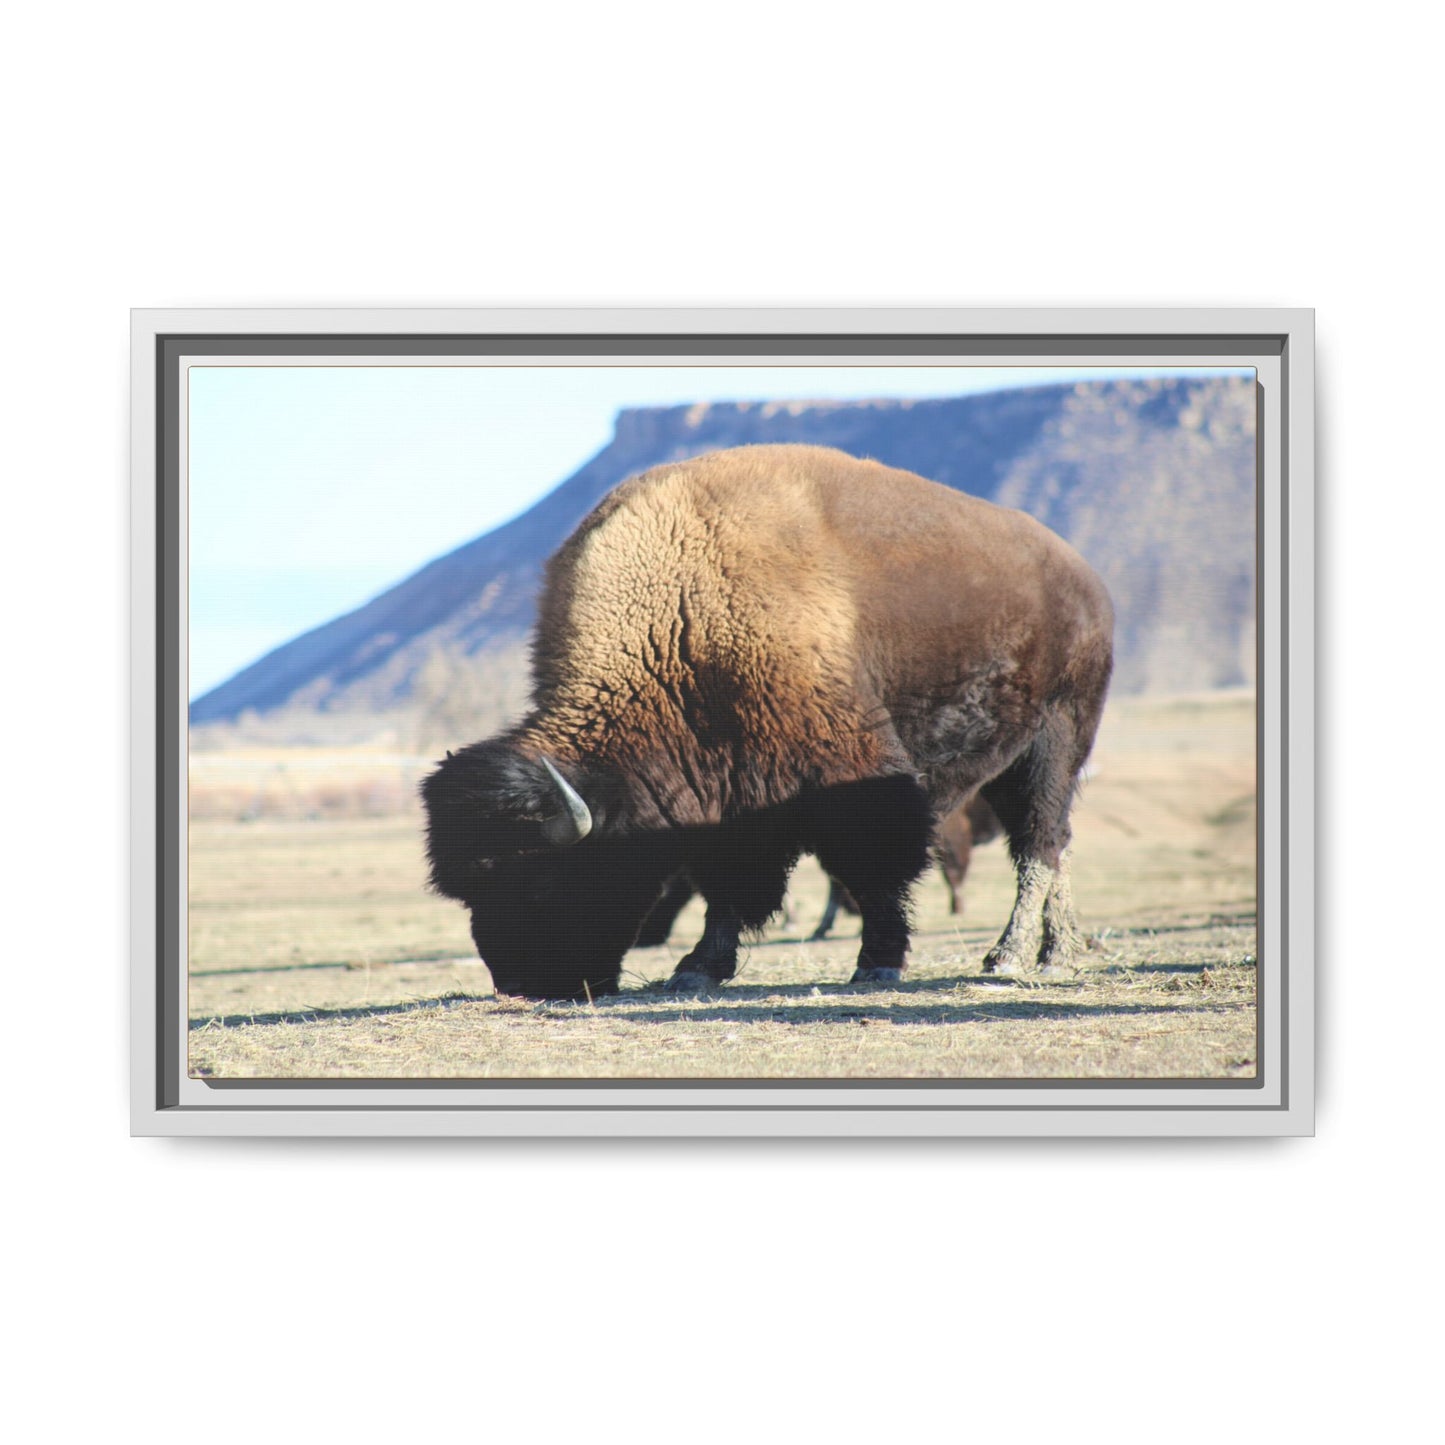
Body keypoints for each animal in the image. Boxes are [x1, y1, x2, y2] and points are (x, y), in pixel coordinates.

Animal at [422, 443, 1113, 1001]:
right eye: (470, 891)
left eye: (540, 880)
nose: (522, 984)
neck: (680, 618)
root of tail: (1084, 579)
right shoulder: (724, 798)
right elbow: (728, 885)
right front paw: (696, 969)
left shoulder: (852, 776)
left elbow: (874, 868)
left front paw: (878, 963)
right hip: (1011, 760)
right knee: (1052, 843)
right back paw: (1057, 951)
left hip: (1057, 740)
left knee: (1040, 842)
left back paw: (1016, 957)